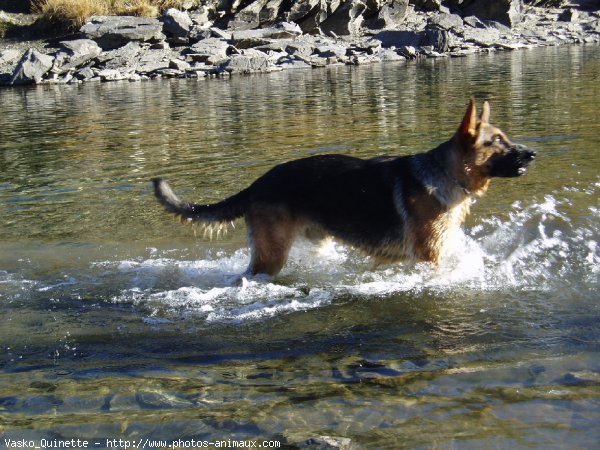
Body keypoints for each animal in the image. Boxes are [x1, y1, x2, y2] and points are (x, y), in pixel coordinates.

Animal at [152, 99, 536, 278]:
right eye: (496, 142)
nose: (533, 154)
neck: (444, 174)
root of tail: (258, 183)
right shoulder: (429, 259)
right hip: (270, 257)